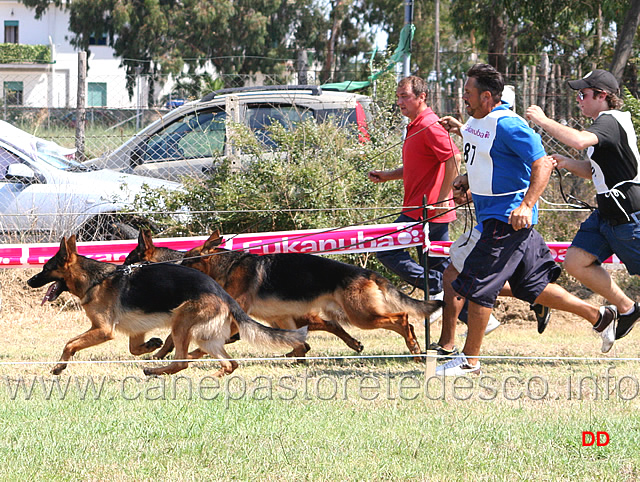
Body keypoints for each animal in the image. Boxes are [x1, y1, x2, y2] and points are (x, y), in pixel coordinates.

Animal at [28, 234, 308, 376]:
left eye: (45, 269)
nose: (30, 281)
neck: (96, 279)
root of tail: (222, 293)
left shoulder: (103, 330)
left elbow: (69, 343)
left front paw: (59, 366)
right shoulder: (134, 330)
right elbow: (134, 348)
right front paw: (152, 344)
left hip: (182, 323)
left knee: (183, 362)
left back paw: (155, 371)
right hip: (205, 337)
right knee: (229, 364)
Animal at [180, 230, 440, 358]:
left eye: (186, 261)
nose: (174, 269)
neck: (227, 265)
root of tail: (367, 272)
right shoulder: (278, 317)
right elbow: (297, 343)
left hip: (361, 316)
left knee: (402, 318)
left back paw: (415, 349)